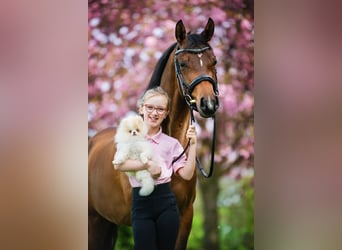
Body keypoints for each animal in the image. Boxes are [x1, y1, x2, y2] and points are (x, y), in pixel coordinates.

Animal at [88, 17, 219, 250]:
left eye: (214, 61)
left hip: (107, 222)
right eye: (183, 63)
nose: (208, 104)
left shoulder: (185, 216)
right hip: (93, 221)